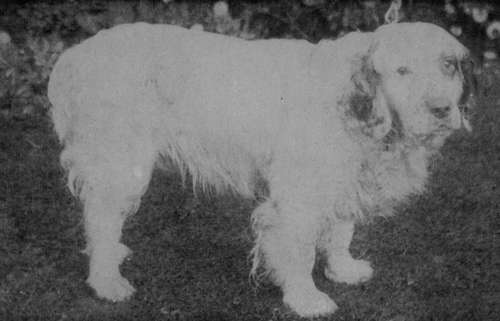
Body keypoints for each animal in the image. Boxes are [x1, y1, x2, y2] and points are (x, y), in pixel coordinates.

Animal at [48, 21, 474, 316]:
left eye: (448, 65)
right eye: (402, 71)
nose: (441, 110)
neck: (352, 100)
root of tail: (75, 55)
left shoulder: (343, 179)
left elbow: (341, 232)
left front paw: (342, 270)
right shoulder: (299, 196)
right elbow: (299, 250)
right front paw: (306, 299)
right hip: (120, 164)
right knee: (100, 219)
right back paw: (106, 280)